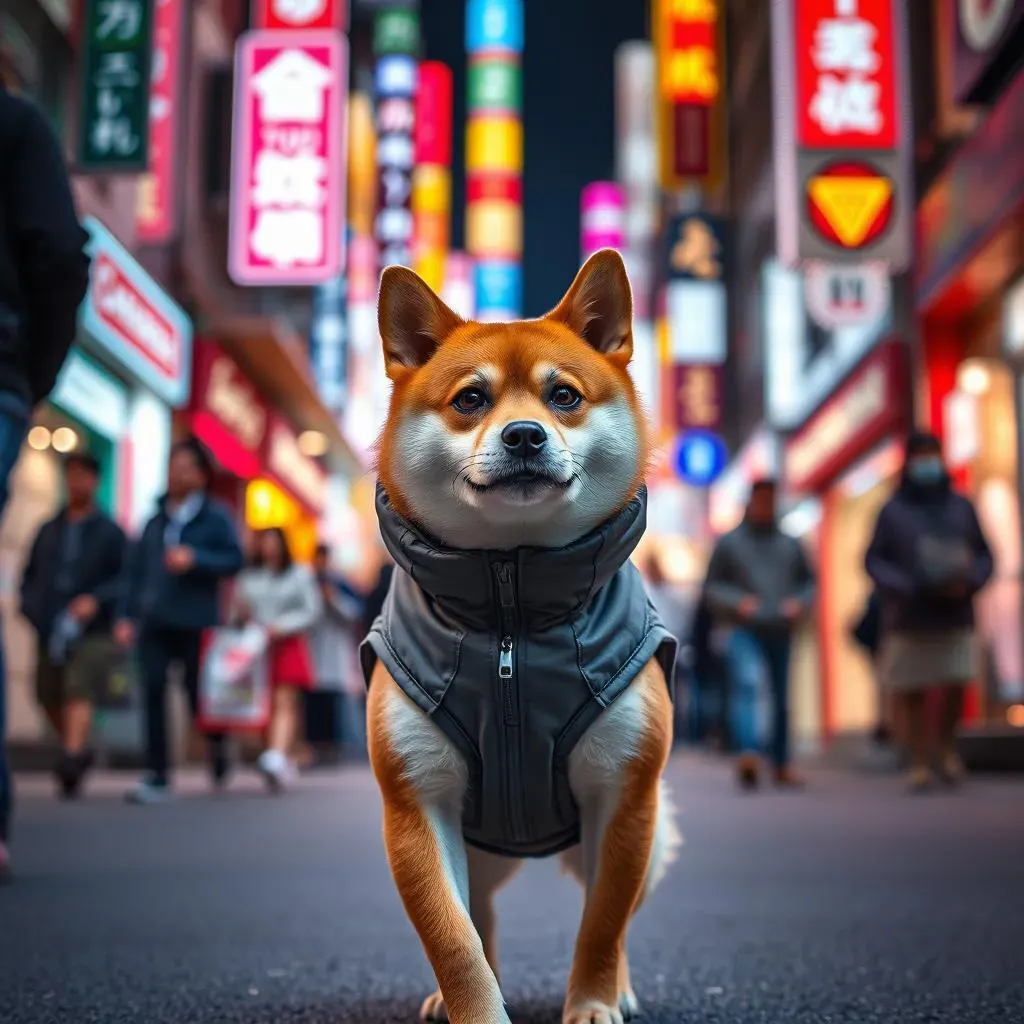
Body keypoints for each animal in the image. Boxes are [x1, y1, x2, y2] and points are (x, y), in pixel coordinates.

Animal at [360, 247, 679, 1024]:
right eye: (470, 400)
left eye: (563, 396)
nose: (525, 435)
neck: (511, 613)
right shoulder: (415, 804)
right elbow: (455, 938)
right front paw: (476, 1008)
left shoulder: (625, 795)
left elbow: (602, 923)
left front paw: (592, 1000)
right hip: (476, 849)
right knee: (483, 914)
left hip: (655, 832)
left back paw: (621, 991)